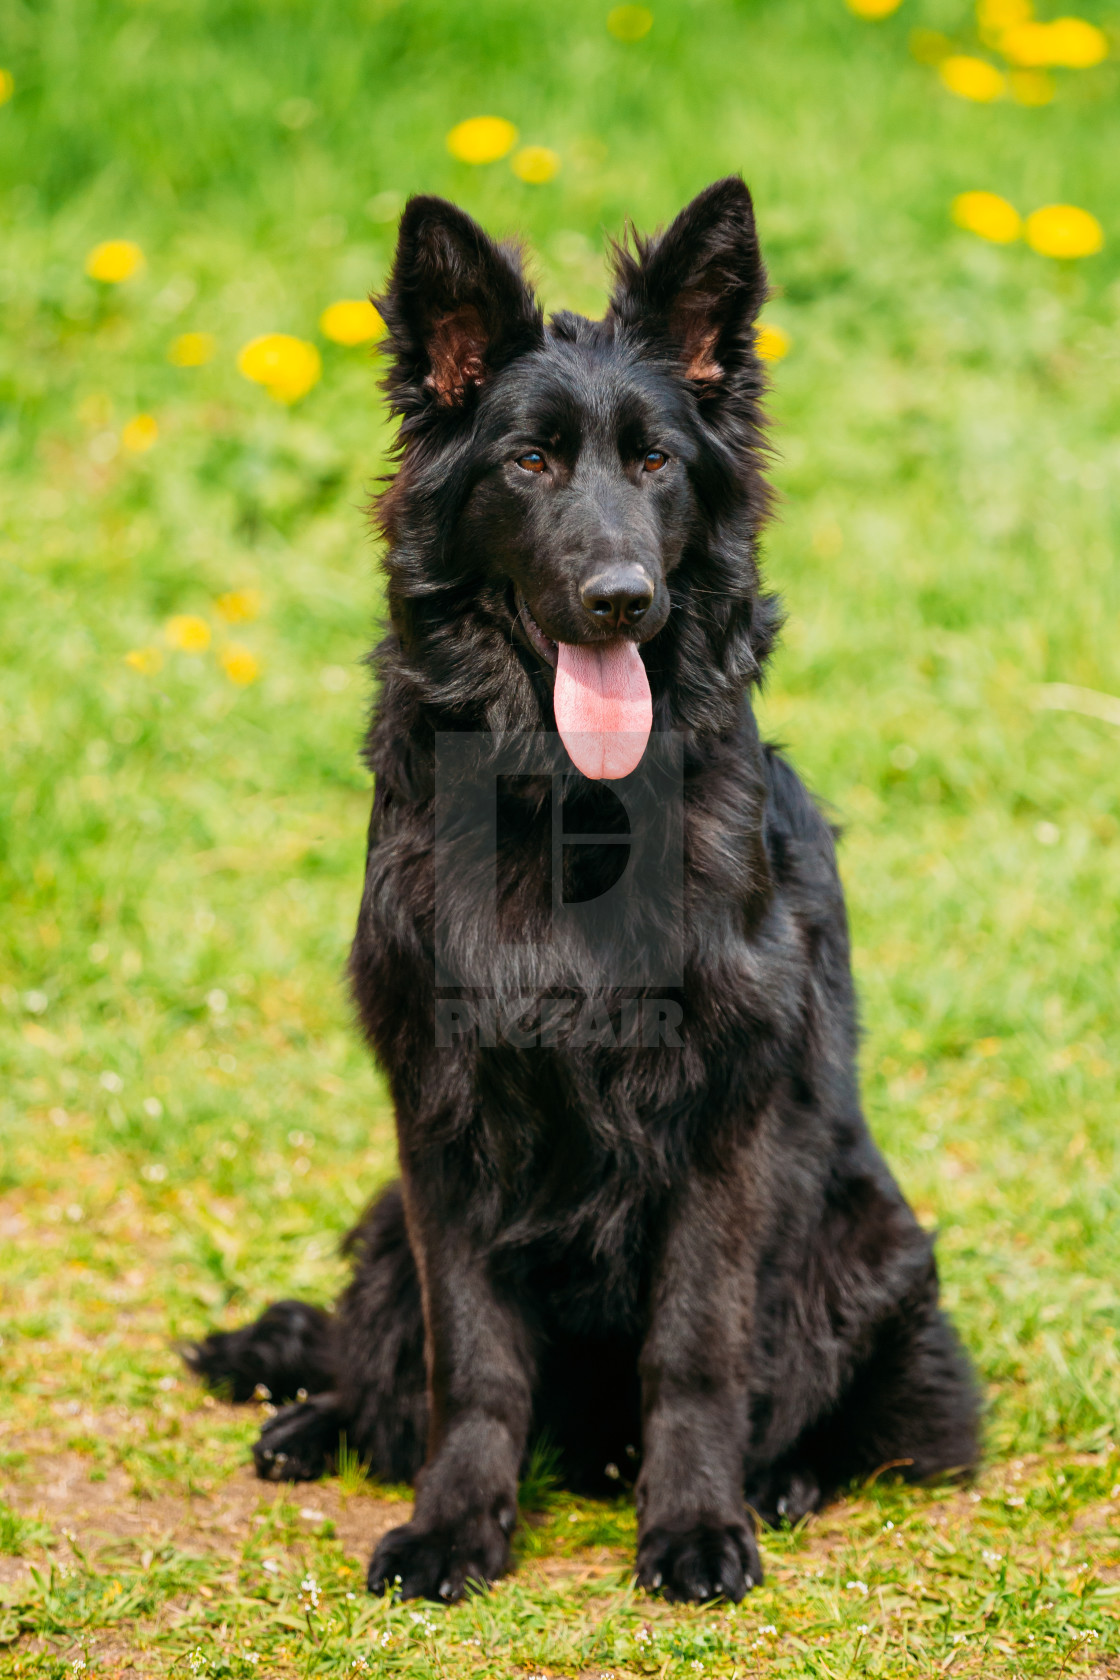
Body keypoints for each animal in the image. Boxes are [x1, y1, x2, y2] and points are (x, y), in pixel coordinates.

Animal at [190, 180, 980, 1599]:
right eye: (530, 463)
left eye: (657, 463)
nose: (623, 598)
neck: (570, 813)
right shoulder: (440, 1121)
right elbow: (470, 1361)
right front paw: (455, 1524)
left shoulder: (723, 1121)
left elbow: (699, 1347)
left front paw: (695, 1523)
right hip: (386, 1221)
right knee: (378, 1360)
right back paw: (318, 1420)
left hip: (873, 1248)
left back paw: (778, 1478)